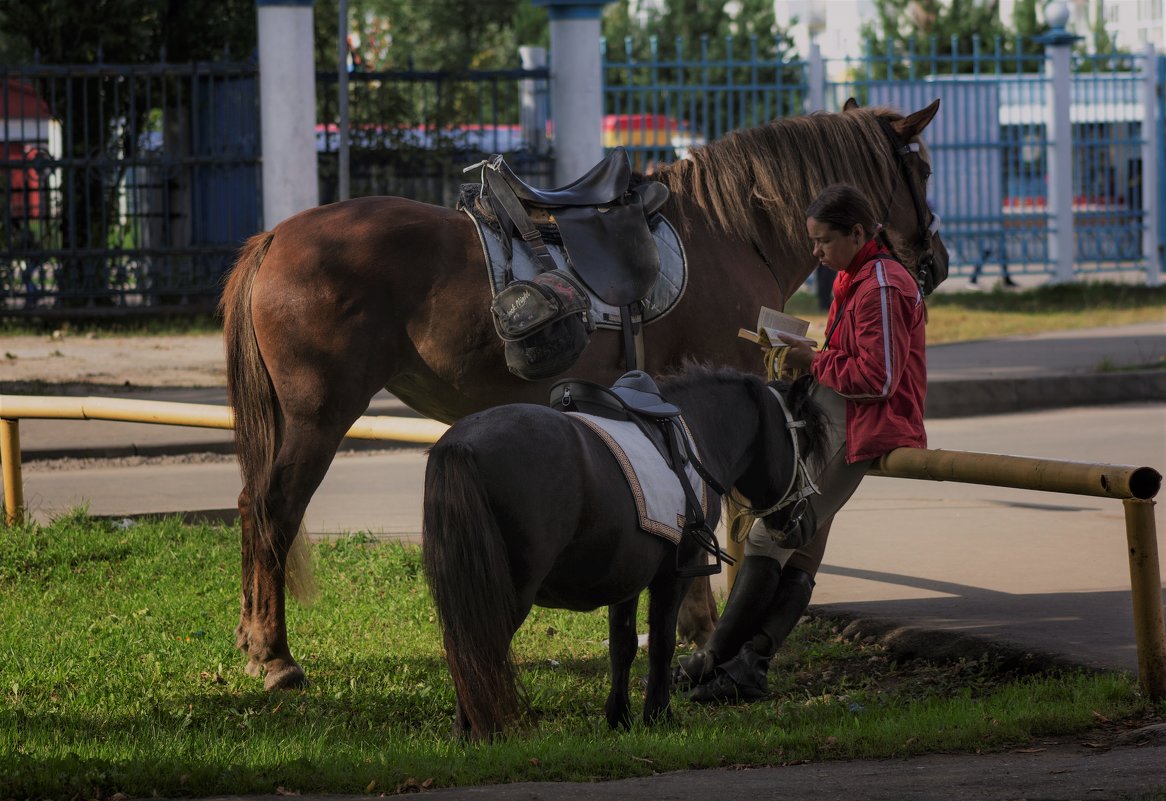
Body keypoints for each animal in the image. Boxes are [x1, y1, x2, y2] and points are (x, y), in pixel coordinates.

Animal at [219, 98, 946, 690]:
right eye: (925, 169)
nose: (935, 260)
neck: (733, 231)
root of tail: (275, 237)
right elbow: (710, 508)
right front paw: (703, 634)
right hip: (318, 417)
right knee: (274, 508)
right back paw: (275, 656)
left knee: (252, 506)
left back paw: (253, 641)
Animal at [419, 366, 830, 741]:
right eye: (805, 442)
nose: (805, 524)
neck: (695, 435)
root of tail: (462, 443)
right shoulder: (675, 572)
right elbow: (661, 642)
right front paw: (658, 715)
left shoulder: (627, 576)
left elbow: (623, 644)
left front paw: (619, 716)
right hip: (507, 593)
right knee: (479, 649)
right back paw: (481, 731)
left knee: (464, 648)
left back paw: (466, 733)